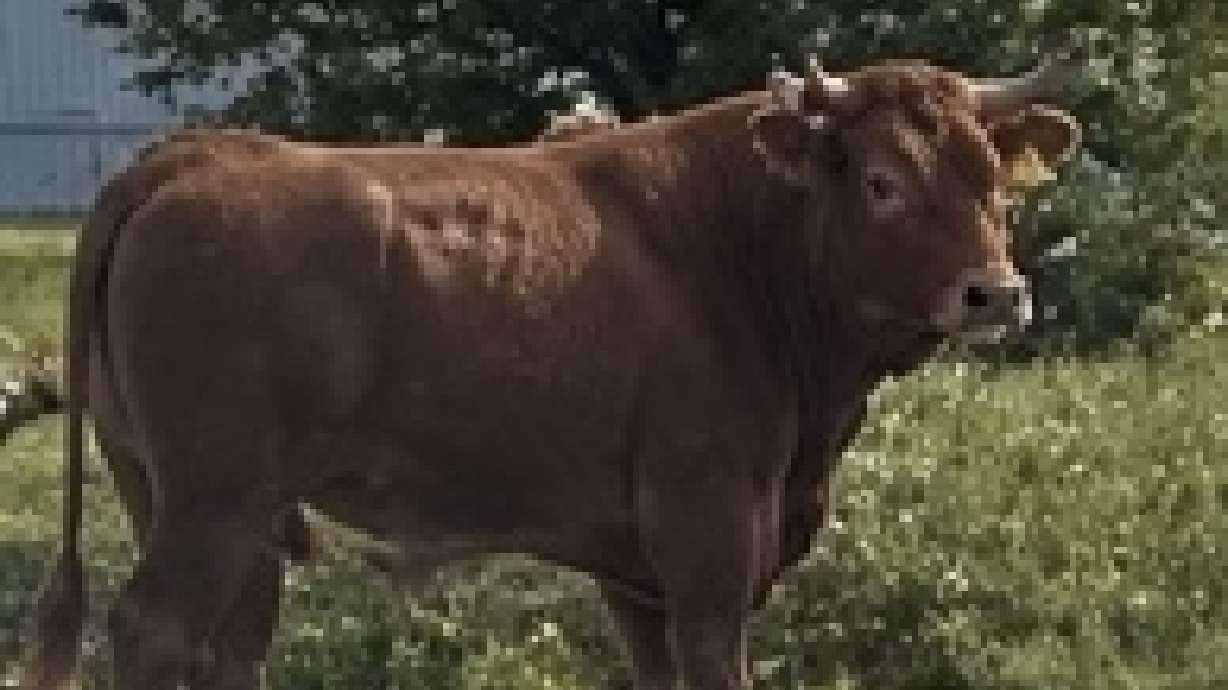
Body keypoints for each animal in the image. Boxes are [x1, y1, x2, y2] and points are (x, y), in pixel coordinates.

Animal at [24, 58, 1078, 690]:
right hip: (214, 499)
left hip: (178, 493)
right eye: (882, 181)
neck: (735, 244)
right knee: (154, 628)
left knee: (227, 643)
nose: (997, 293)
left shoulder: (637, 572)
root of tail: (190, 155)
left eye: (992, 177)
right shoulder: (707, 534)